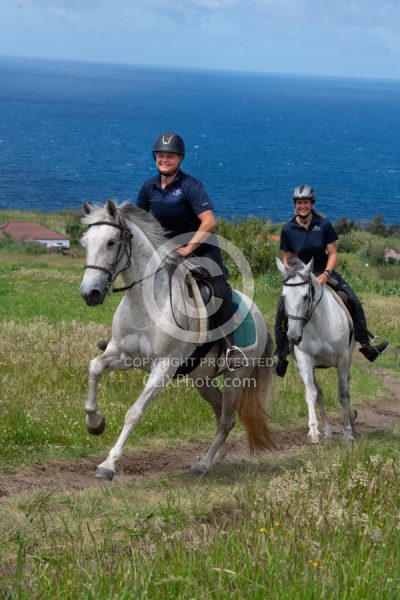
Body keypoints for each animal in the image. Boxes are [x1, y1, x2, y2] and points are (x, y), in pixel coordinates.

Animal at [78, 199, 276, 480]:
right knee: (220, 412)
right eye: (85, 243)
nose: (90, 293)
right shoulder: (124, 356)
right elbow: (94, 367)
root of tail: (258, 314)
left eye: (111, 242)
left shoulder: (164, 367)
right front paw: (95, 423)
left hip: (236, 376)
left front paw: (108, 465)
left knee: (226, 419)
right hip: (202, 379)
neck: (144, 303)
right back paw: (219, 454)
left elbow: (134, 413)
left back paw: (203, 464)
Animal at [276, 255, 358, 442]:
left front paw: (347, 432)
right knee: (319, 393)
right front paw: (313, 431)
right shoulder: (304, 358)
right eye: (284, 297)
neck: (318, 322)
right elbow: (311, 393)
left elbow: (343, 394)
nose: (293, 337)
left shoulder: (343, 359)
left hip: (348, 357)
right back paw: (327, 429)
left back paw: (350, 417)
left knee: (347, 383)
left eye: (306, 296)